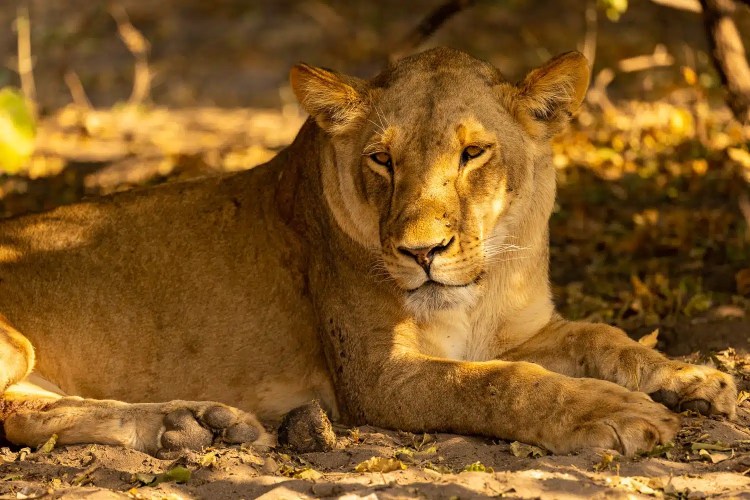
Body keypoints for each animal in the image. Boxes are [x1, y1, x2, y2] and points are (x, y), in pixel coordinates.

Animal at [0, 48, 736, 457]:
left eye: (474, 153)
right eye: (382, 159)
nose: (422, 252)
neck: (486, 280)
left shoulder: (524, 329)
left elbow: (605, 338)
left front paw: (693, 379)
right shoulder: (377, 377)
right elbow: (502, 383)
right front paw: (613, 413)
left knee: (31, 411)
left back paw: (194, 425)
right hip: (16, 344)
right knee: (14, 415)